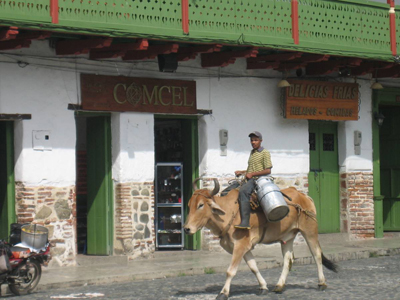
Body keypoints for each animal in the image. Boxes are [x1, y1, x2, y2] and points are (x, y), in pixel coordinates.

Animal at [184, 179, 338, 298]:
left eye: (201, 205)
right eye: (189, 205)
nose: (186, 228)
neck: (229, 213)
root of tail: (303, 195)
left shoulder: (240, 245)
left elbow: (230, 271)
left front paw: (223, 293)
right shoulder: (243, 247)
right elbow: (254, 267)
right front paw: (263, 287)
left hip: (310, 231)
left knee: (316, 255)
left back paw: (321, 283)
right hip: (287, 237)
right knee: (288, 260)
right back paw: (279, 286)